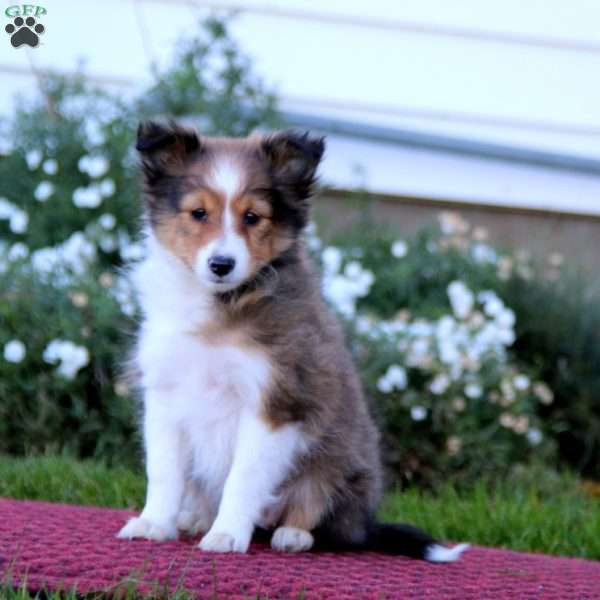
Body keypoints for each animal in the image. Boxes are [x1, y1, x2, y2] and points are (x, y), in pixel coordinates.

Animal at [117, 120, 468, 564]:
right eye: (198, 213)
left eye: (253, 217)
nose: (221, 265)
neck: (223, 303)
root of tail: (365, 524)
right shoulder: (166, 394)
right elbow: (163, 471)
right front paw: (153, 524)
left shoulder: (276, 401)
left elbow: (243, 476)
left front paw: (227, 534)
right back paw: (195, 518)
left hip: (335, 463)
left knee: (321, 514)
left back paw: (292, 534)